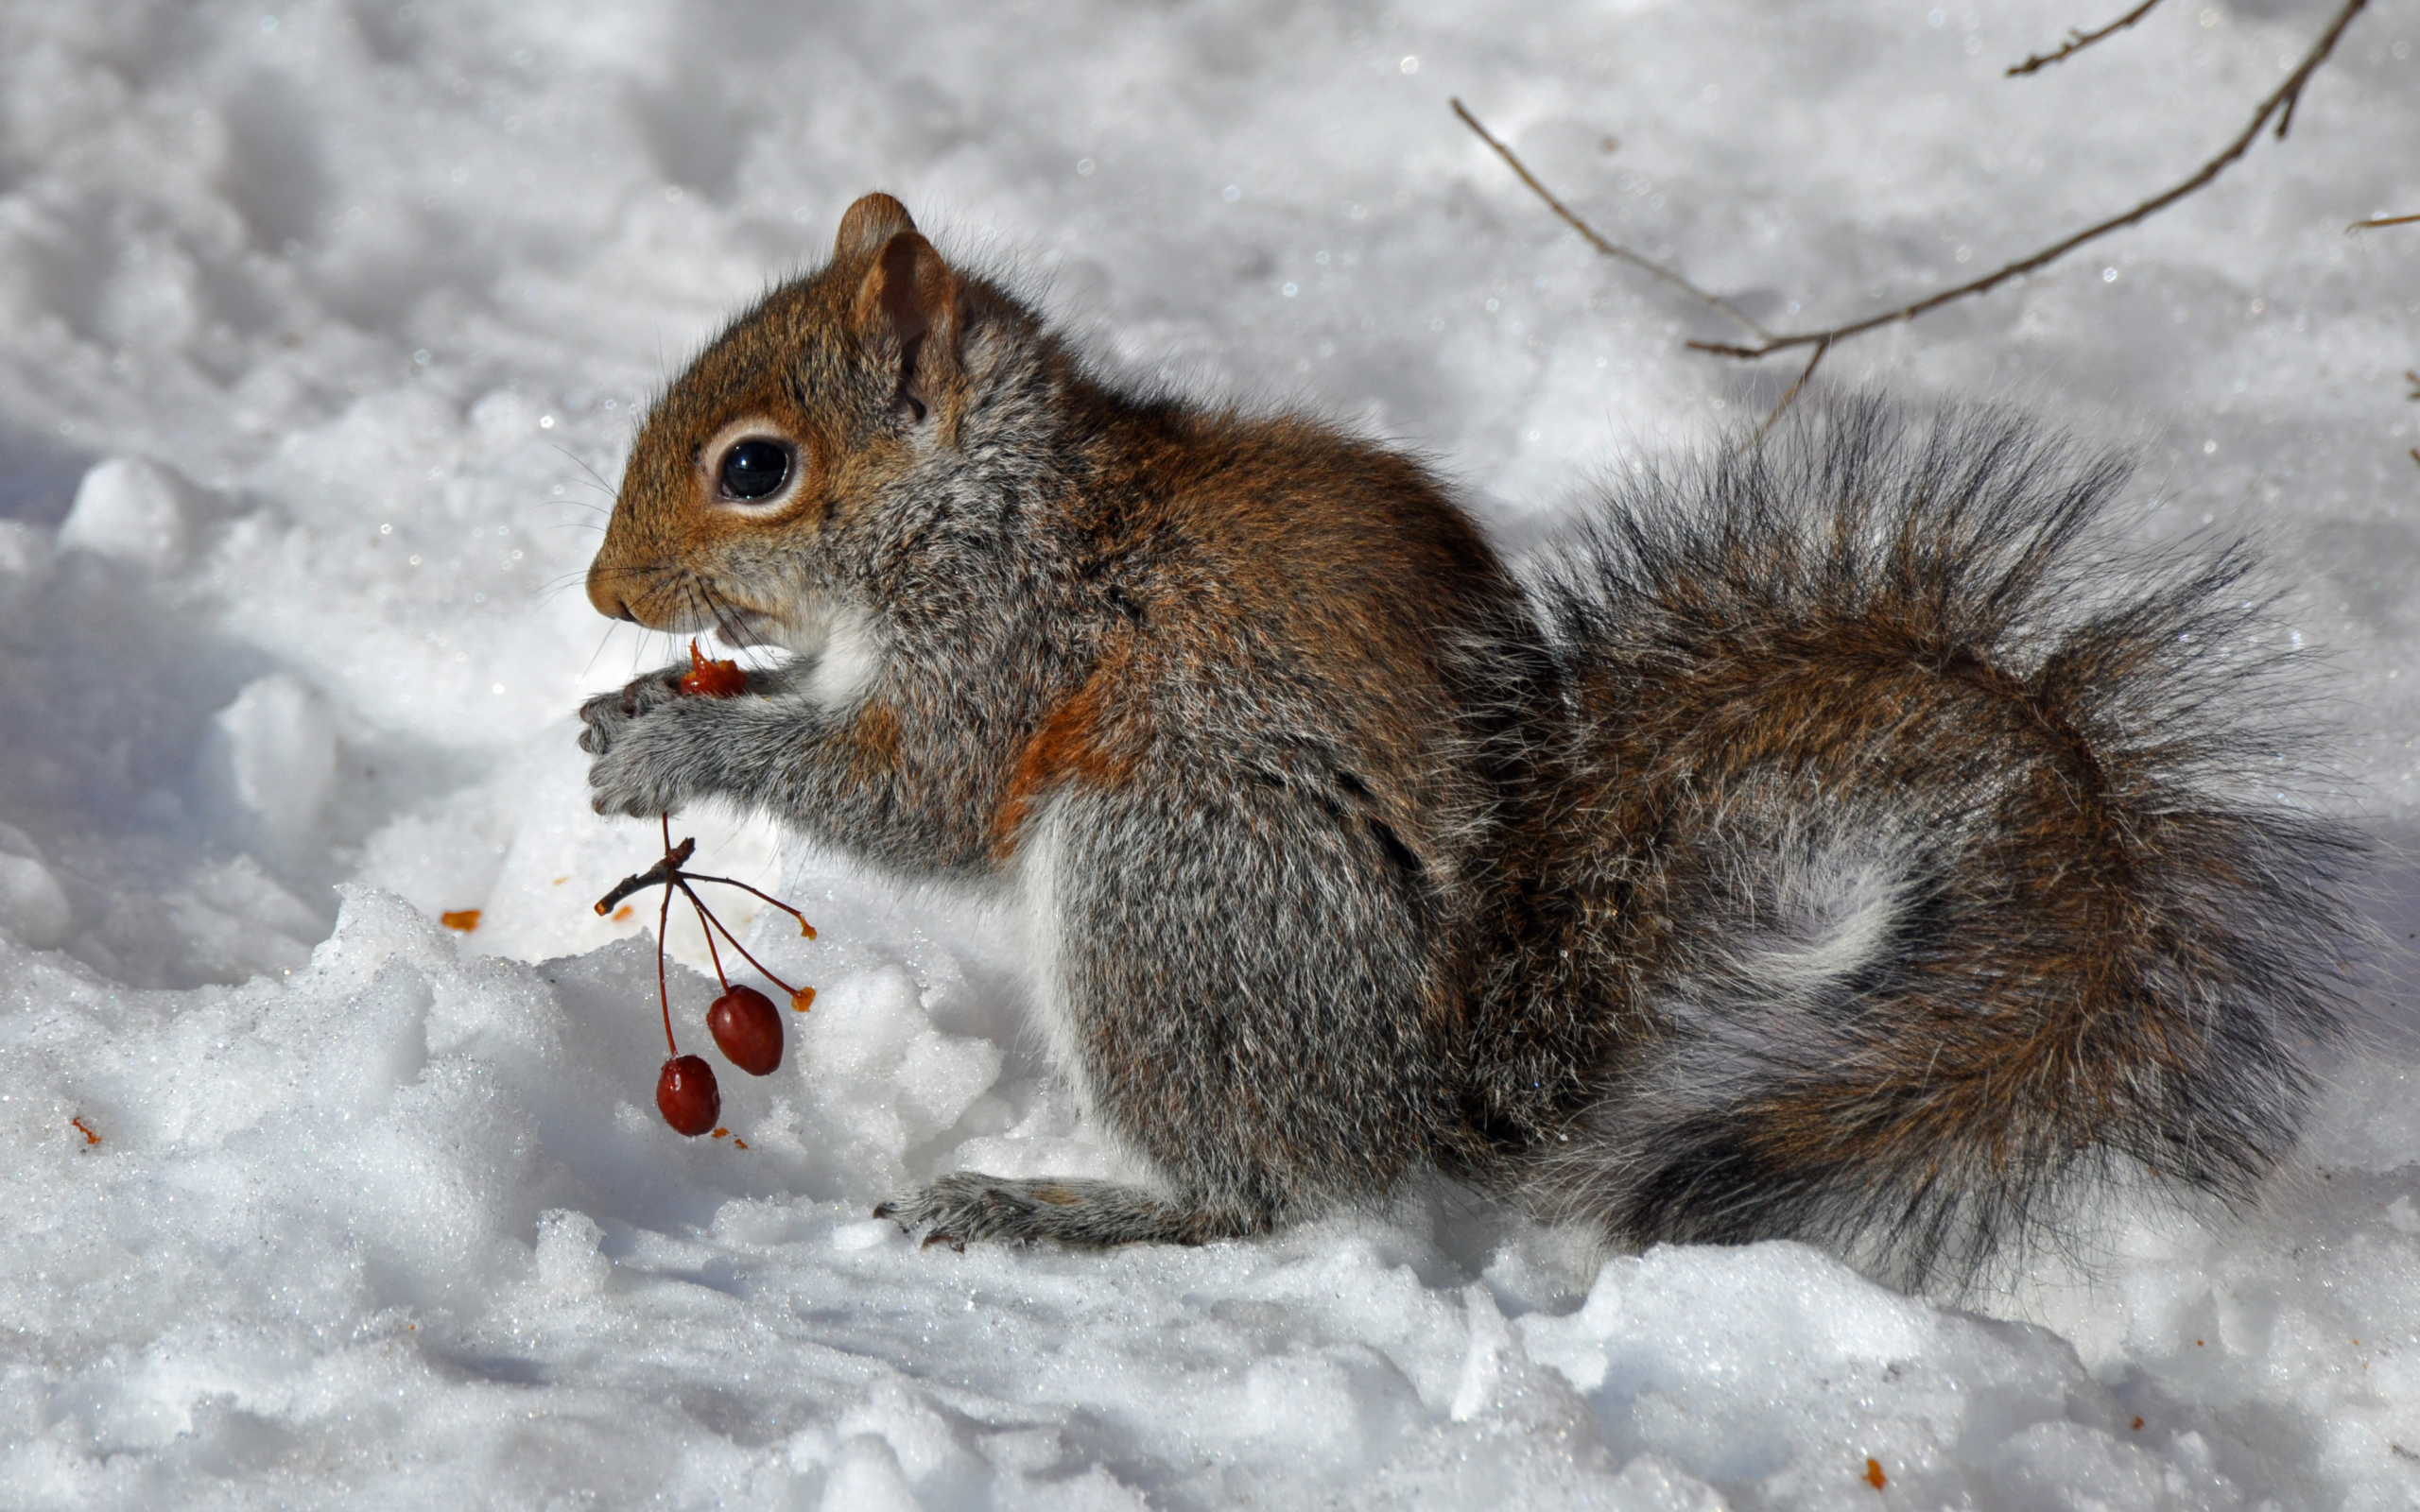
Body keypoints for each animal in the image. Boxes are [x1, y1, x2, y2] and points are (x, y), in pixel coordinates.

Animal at [580, 191, 2361, 1286]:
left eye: (756, 468)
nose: (604, 593)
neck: (986, 501)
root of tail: (1441, 1084)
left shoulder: (1013, 647)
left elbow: (922, 796)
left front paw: (679, 753)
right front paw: (633, 712)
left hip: (1171, 880)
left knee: (1263, 1192)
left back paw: (1048, 1205)